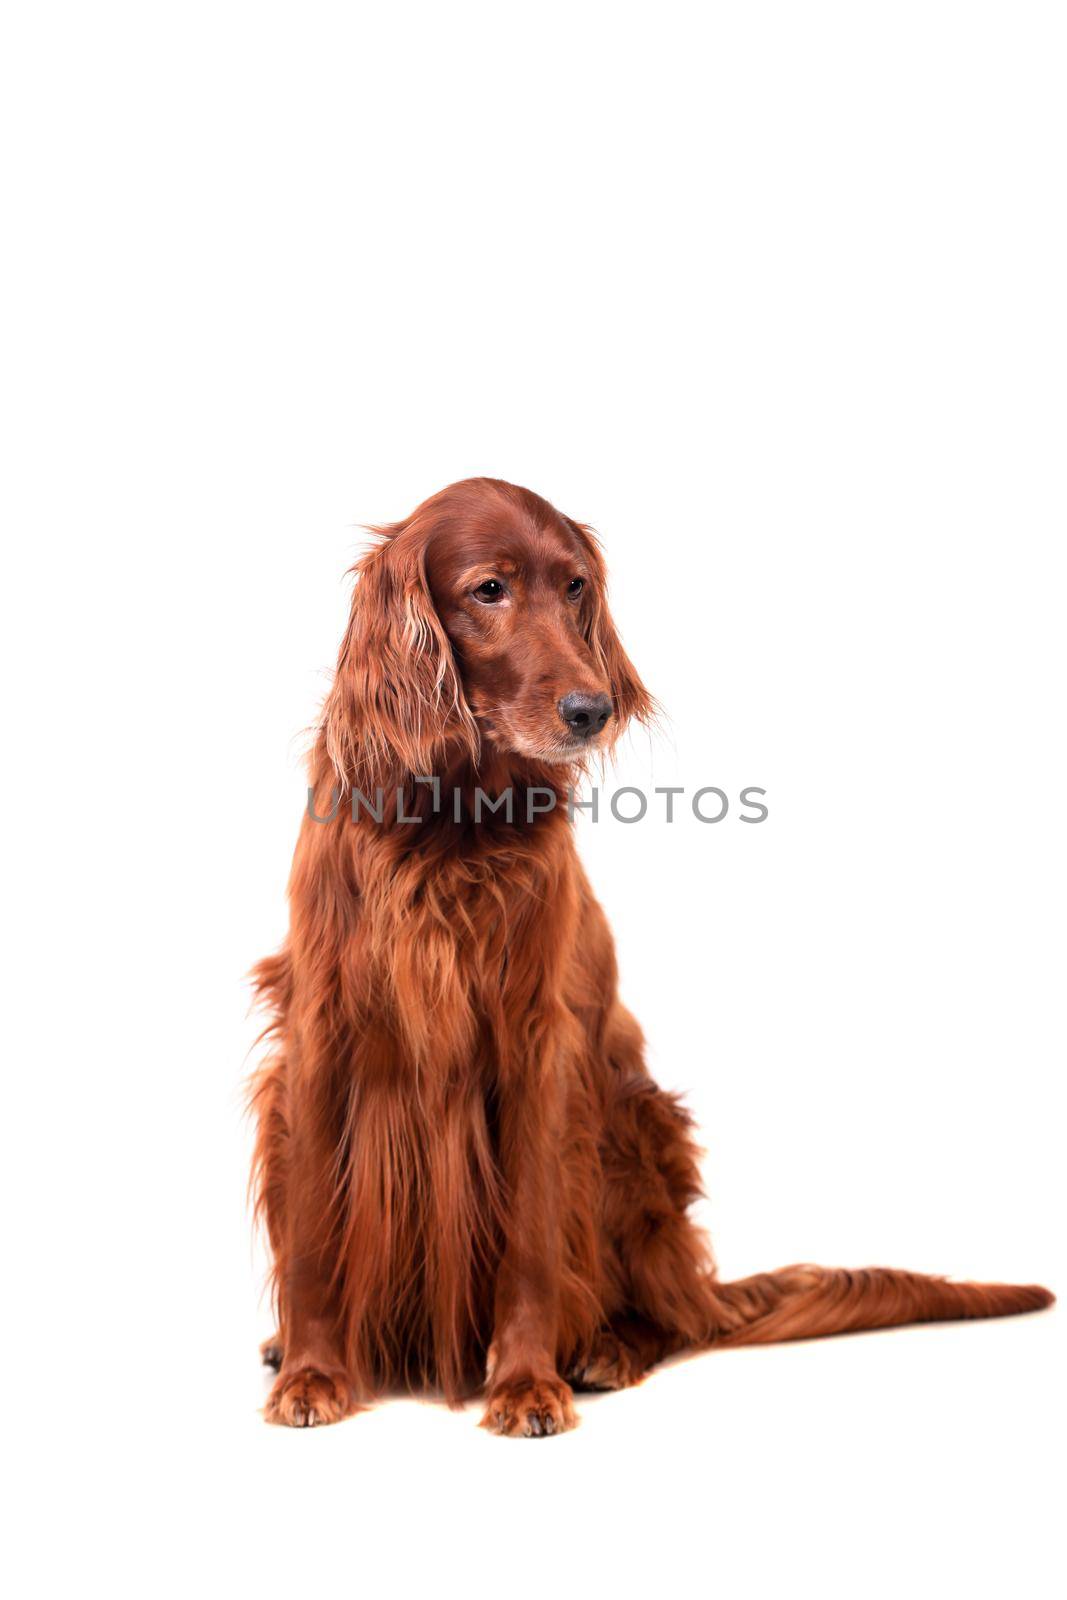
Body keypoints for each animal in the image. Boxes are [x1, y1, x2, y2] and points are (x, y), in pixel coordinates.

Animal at [247, 473, 1049, 1440]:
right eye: (488, 589)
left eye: (574, 587)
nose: (592, 709)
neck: (450, 820)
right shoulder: (320, 1033)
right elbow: (313, 1239)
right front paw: (314, 1372)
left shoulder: (536, 1047)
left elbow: (530, 1241)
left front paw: (525, 1383)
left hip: (631, 1125)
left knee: (667, 1316)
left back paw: (604, 1348)